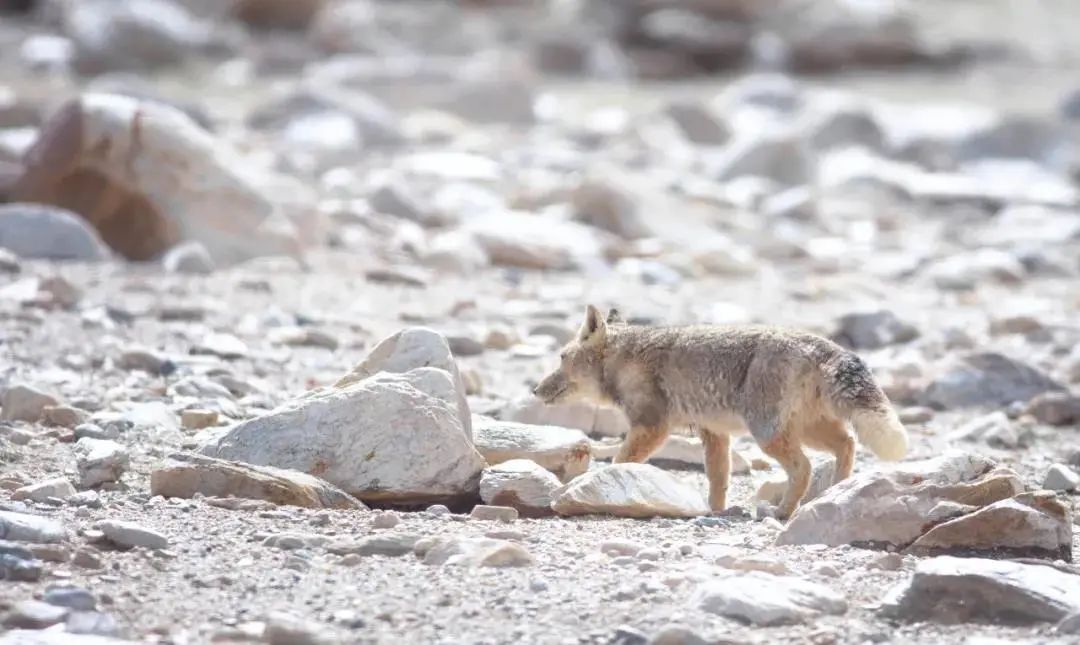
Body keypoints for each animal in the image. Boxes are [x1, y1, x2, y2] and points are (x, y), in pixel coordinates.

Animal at [535, 304, 907, 520]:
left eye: (561, 358)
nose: (535, 390)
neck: (624, 355)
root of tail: (825, 346)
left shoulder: (652, 426)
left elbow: (620, 461)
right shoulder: (714, 432)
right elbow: (718, 479)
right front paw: (713, 511)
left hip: (768, 434)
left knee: (804, 467)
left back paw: (785, 511)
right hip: (805, 429)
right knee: (847, 444)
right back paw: (834, 493)